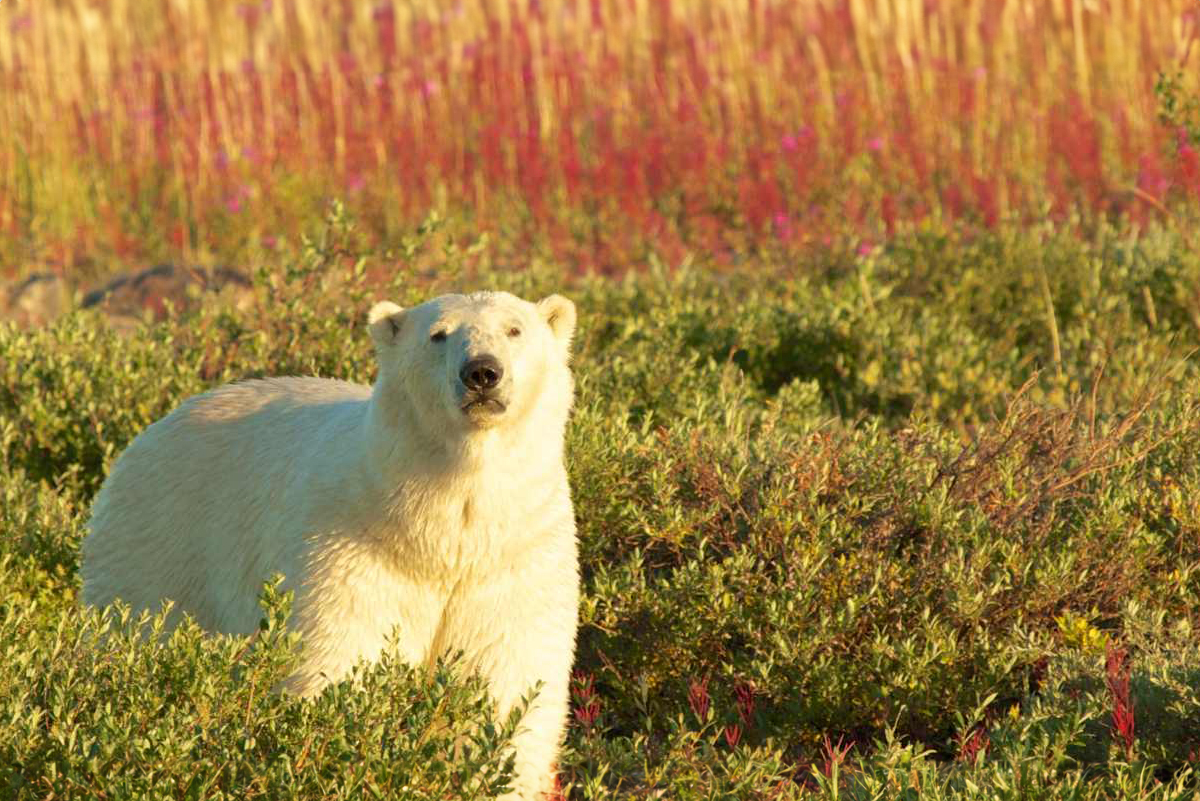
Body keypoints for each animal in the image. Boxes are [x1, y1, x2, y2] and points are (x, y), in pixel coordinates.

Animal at [81, 290, 580, 799]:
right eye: (438, 335)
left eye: (514, 329)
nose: (481, 372)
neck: (437, 531)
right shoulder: (353, 551)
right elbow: (340, 660)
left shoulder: (514, 559)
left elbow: (506, 678)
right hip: (162, 542)